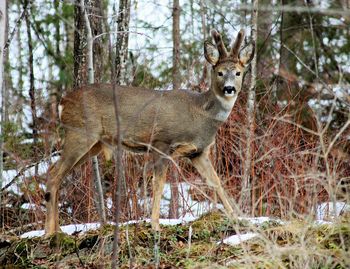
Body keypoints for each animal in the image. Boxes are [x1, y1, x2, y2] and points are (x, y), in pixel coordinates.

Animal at [45, 28, 254, 234]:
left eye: (238, 72)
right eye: (219, 72)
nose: (229, 89)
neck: (200, 113)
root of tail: (63, 102)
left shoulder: (198, 152)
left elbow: (216, 182)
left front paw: (236, 217)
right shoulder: (161, 142)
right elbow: (158, 184)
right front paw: (155, 225)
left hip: (94, 143)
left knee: (56, 172)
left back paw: (58, 230)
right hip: (80, 133)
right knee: (54, 173)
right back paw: (50, 233)